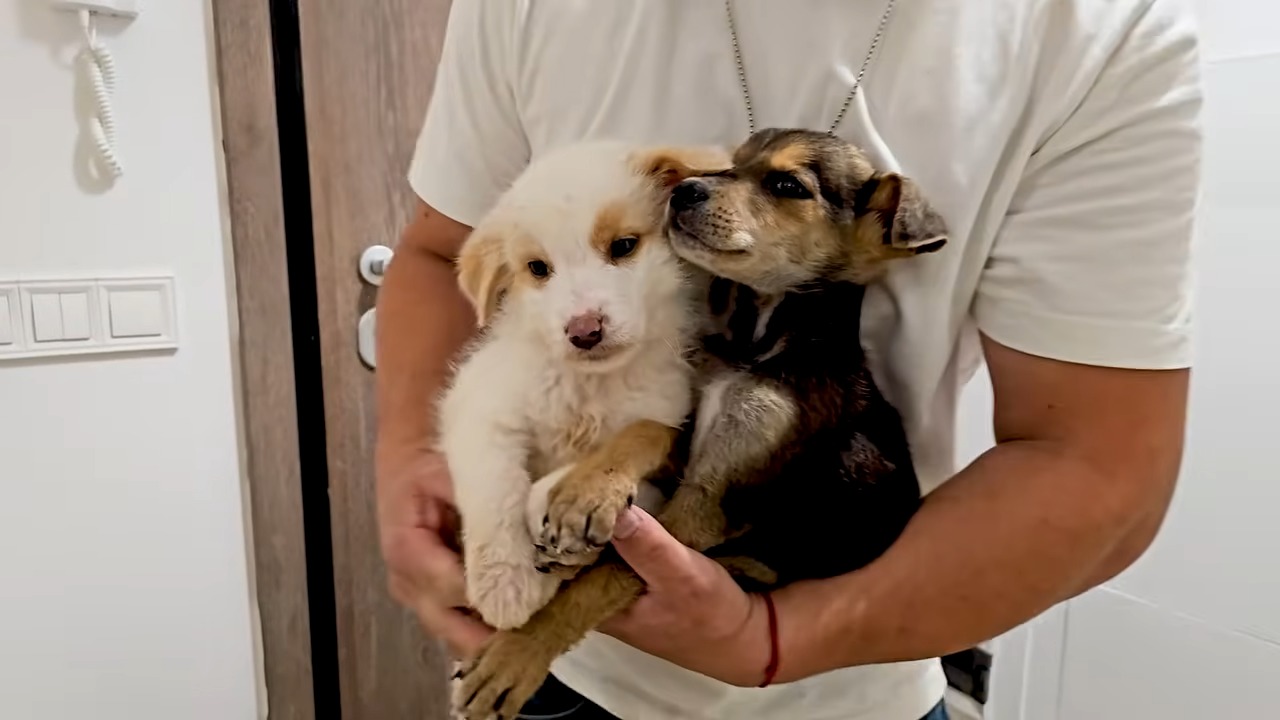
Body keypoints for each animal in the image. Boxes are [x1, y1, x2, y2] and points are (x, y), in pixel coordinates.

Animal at [435, 137, 727, 625]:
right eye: (537, 268)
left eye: (624, 245)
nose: (584, 331)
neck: (589, 385)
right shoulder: (483, 410)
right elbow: (495, 489)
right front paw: (506, 586)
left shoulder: (665, 432)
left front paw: (561, 504)